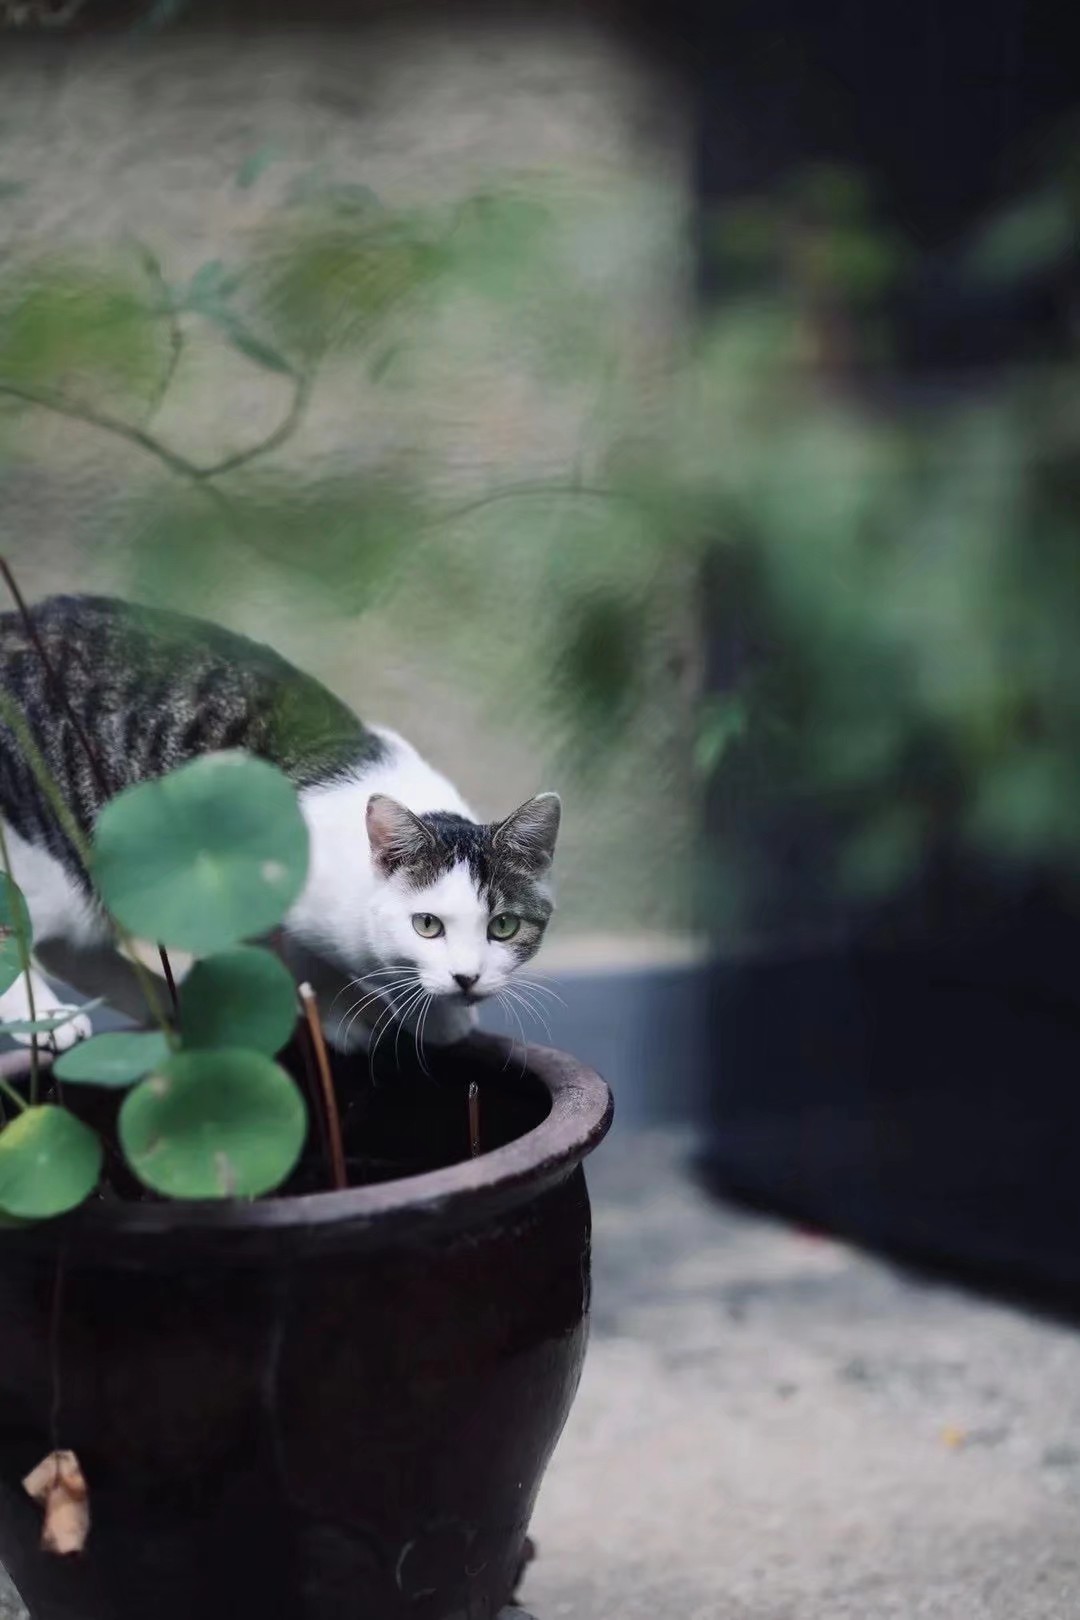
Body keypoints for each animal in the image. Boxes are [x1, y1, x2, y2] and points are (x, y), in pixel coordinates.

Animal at [0, 596, 563, 1049]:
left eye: (503, 926)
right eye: (427, 924)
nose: (467, 978)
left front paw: (437, 1017)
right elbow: (304, 964)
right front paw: (347, 1017)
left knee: (64, 948)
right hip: (49, 858)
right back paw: (49, 1017)